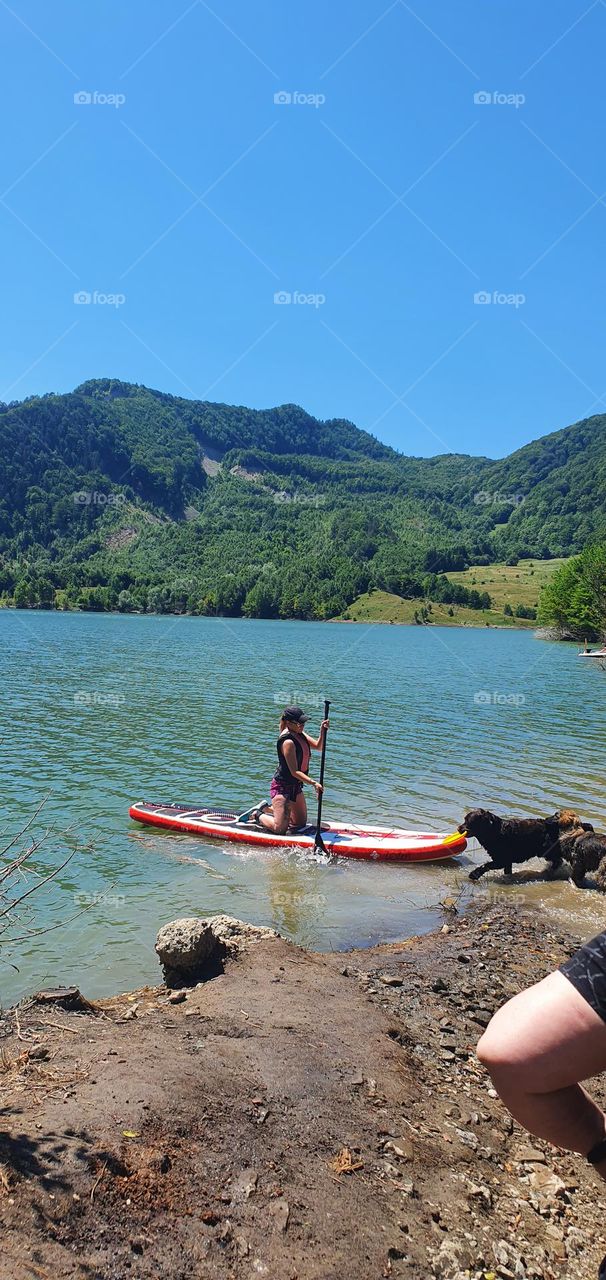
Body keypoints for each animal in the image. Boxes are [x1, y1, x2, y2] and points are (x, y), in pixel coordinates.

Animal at [456, 808, 589, 880]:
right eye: (464, 819)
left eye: (468, 821)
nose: (458, 828)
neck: (494, 831)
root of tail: (552, 824)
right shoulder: (506, 862)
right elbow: (507, 872)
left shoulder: (501, 860)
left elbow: (486, 865)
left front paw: (474, 874)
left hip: (546, 851)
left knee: (558, 860)